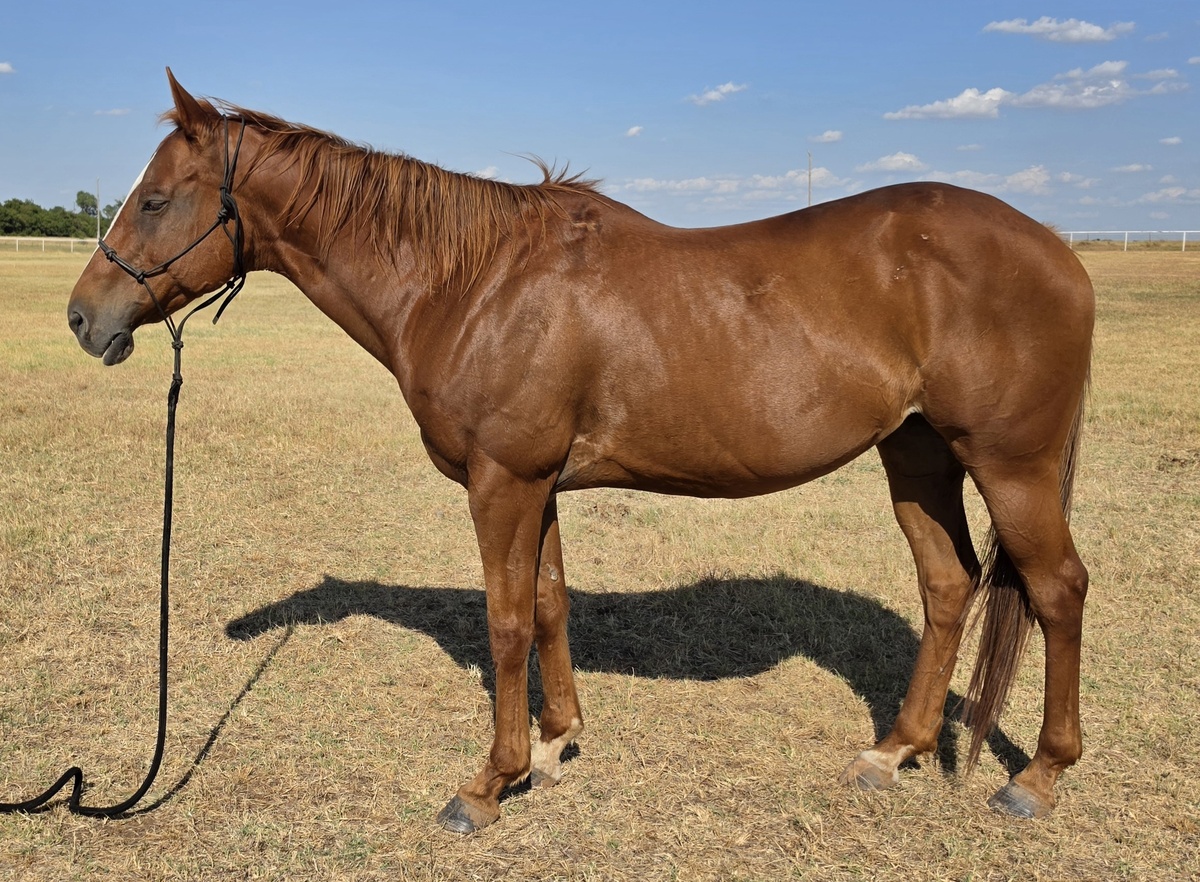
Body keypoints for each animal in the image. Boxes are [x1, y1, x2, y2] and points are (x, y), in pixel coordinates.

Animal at [67, 70, 1093, 832]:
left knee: (1057, 591)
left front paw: (489, 784)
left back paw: (1038, 778)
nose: (84, 319)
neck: (472, 282)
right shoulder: (539, 483)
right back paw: (896, 750)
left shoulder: (502, 482)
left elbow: (506, 623)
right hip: (917, 456)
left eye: (153, 200)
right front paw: (558, 744)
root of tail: (1060, 251)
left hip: (1010, 466)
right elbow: (552, 605)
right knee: (948, 584)